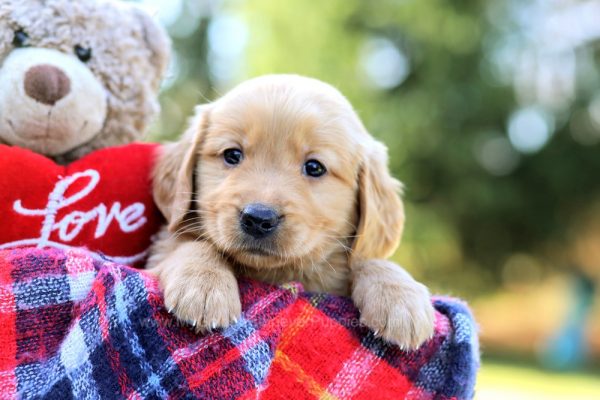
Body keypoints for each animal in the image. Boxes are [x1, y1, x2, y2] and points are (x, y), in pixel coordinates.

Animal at [148, 75, 434, 350]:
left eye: (315, 167)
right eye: (232, 154)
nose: (258, 219)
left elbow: (368, 258)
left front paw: (400, 297)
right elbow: (189, 244)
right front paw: (204, 284)